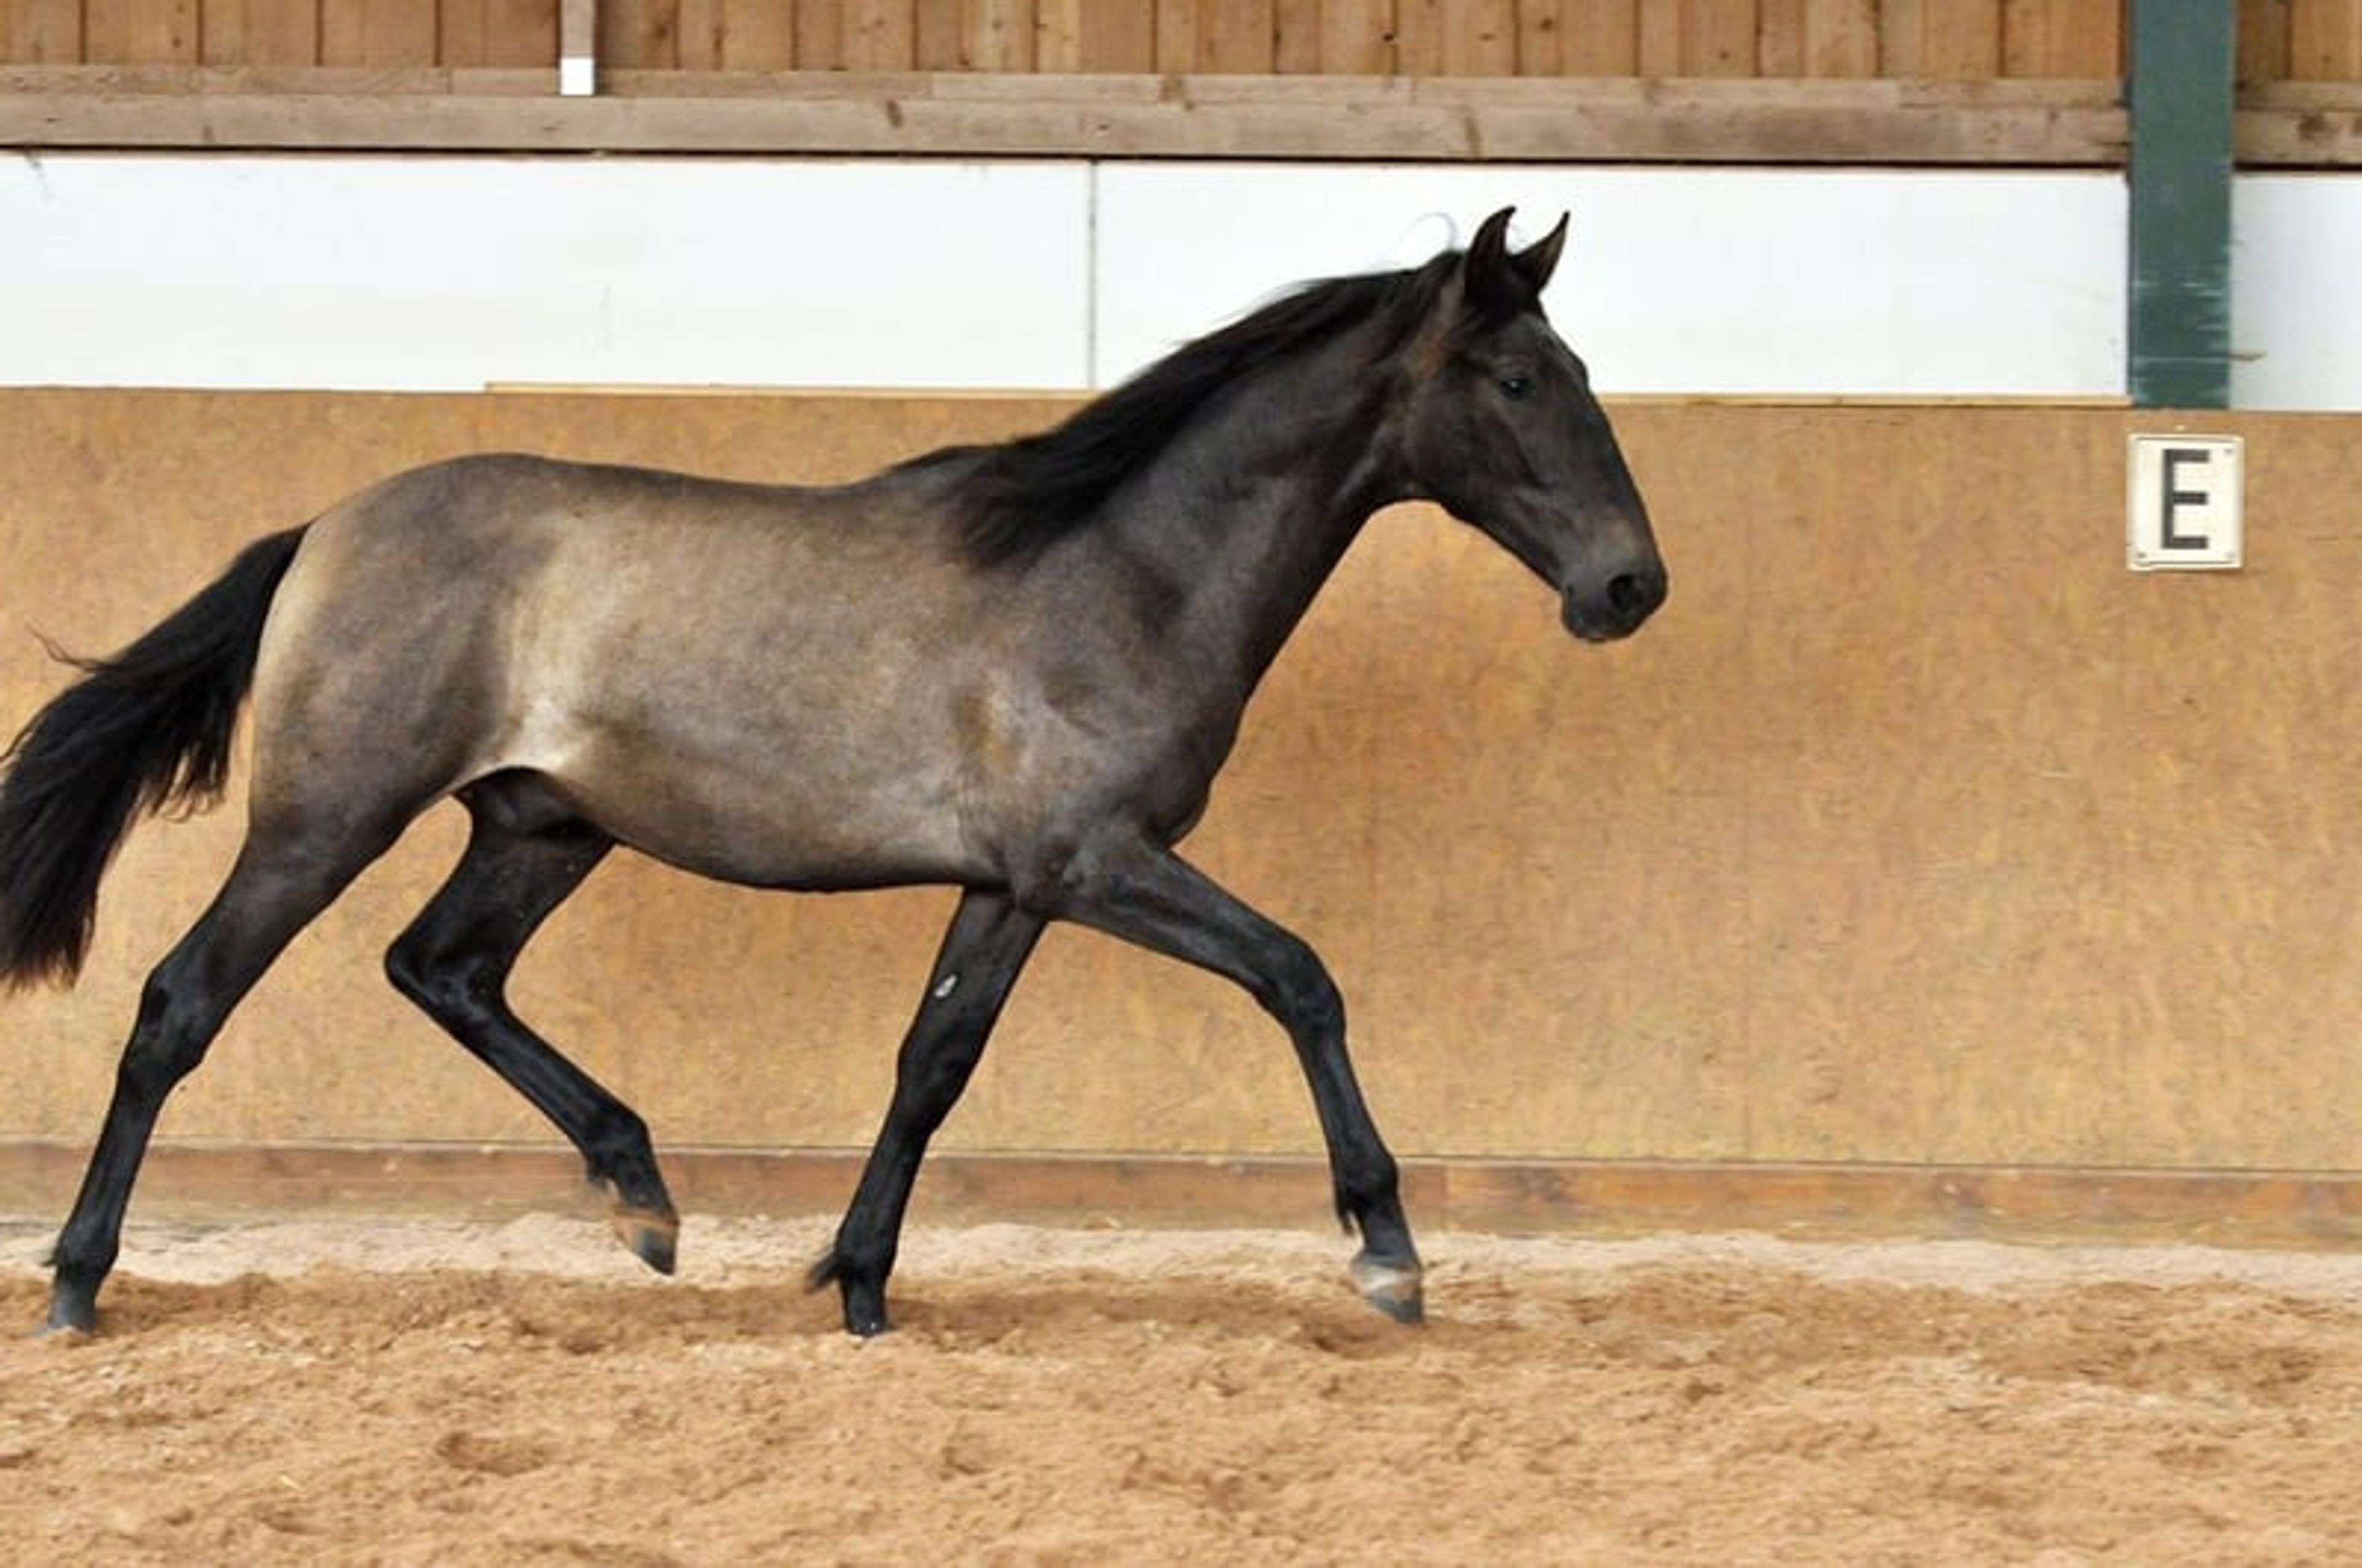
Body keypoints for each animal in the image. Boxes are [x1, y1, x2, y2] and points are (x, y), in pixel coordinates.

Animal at [0, 207, 1665, 1337]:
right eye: (1520, 378)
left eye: (1576, 364)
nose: (1628, 587)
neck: (1120, 572)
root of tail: (324, 531)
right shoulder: (1100, 860)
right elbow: (1300, 975)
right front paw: (1387, 1249)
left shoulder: (1015, 884)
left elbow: (932, 1063)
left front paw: (859, 1283)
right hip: (326, 816)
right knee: (182, 1002)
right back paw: (79, 1281)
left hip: (542, 828)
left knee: (443, 969)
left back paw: (645, 1201)